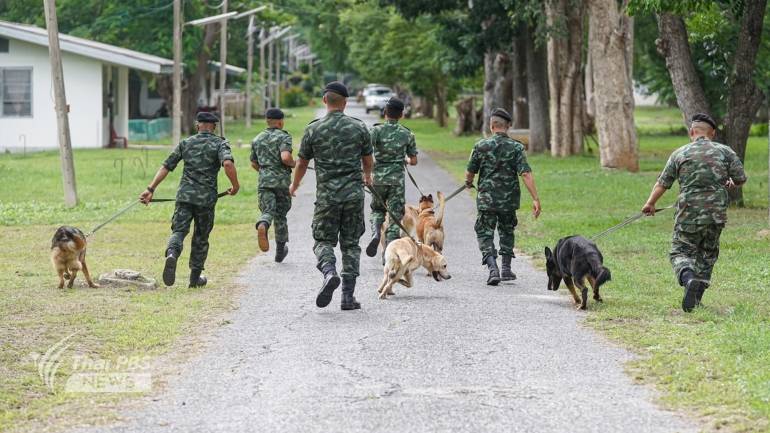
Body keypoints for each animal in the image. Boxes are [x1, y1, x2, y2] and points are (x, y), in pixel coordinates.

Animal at [140, 110, 238, 286]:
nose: (234, 189)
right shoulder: (223, 145)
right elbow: (227, 162)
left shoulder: (180, 145)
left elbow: (167, 165)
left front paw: (148, 193)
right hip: (205, 213)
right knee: (201, 238)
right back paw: (195, 279)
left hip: (182, 207)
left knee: (177, 233)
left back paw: (170, 266)